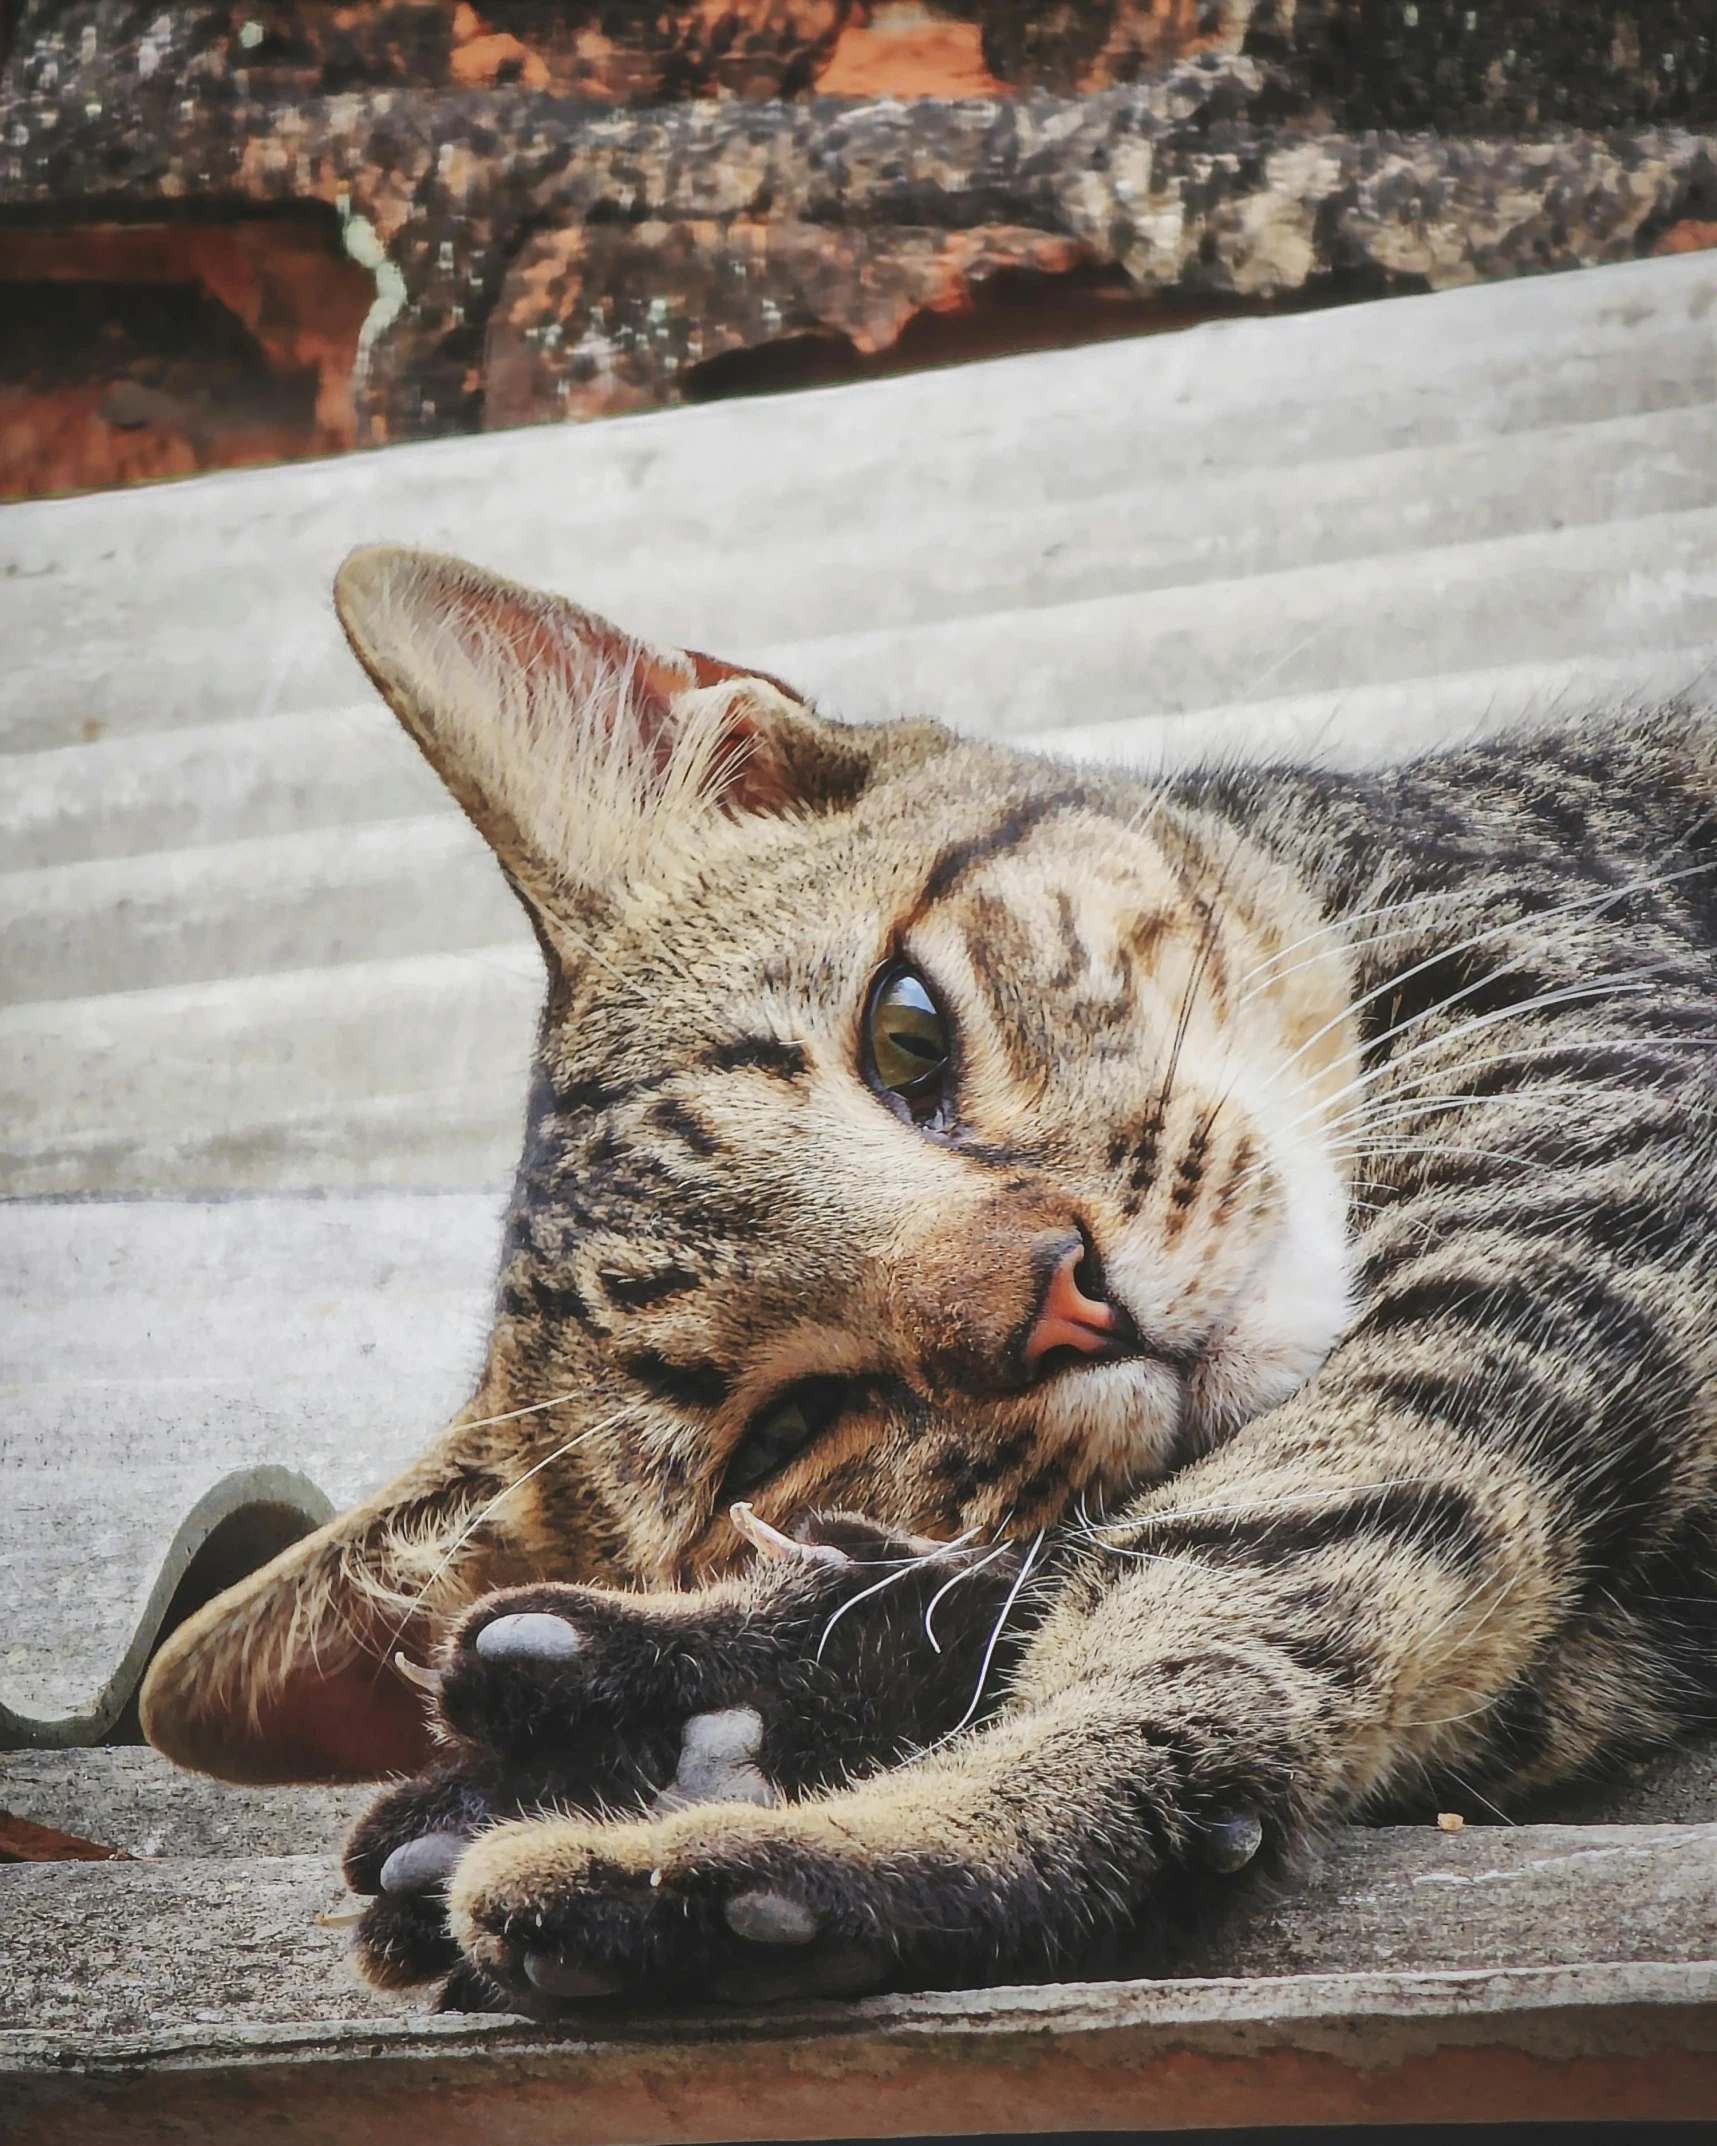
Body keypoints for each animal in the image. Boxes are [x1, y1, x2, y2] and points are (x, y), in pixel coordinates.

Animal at [137, 540, 1717, 2008]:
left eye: (905, 1035)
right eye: (781, 1431)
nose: (1065, 1295)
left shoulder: (1570, 1177)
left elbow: (1236, 1569)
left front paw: (806, 1822)